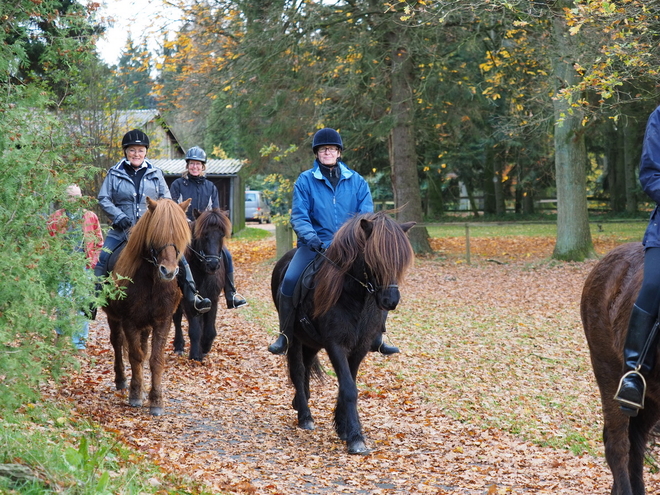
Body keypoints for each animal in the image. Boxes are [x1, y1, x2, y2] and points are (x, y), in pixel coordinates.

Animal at [102, 196, 191, 416]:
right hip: (114, 318)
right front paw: (135, 395)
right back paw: (121, 380)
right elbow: (135, 356)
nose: (168, 271)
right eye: (155, 235)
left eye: (180, 236)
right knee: (117, 343)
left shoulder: (162, 321)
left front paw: (156, 401)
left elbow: (155, 359)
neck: (151, 281)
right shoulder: (129, 321)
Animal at [173, 207, 232, 362]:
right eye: (204, 235)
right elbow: (195, 329)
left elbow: (209, 329)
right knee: (177, 318)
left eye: (221, 235)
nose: (213, 264)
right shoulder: (189, 300)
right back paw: (179, 346)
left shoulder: (213, 298)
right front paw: (195, 354)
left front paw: (205, 347)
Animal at [270, 211, 412, 456]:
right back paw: (305, 416)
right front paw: (355, 438)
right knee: (298, 370)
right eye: (374, 258)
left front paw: (343, 427)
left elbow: (349, 383)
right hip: (295, 339)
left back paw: (300, 402)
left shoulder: (360, 347)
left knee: (306, 367)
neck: (353, 296)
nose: (390, 301)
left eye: (399, 260)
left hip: (311, 342)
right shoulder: (335, 344)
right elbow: (349, 388)